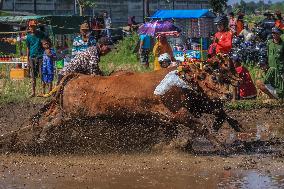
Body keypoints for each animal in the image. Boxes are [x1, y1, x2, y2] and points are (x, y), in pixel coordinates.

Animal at [0, 65, 242, 153]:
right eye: (213, 77)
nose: (228, 94)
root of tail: (74, 76)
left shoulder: (167, 119)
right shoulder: (180, 114)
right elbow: (202, 127)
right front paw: (222, 146)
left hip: (67, 114)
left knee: (41, 122)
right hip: (70, 116)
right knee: (48, 124)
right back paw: (38, 140)